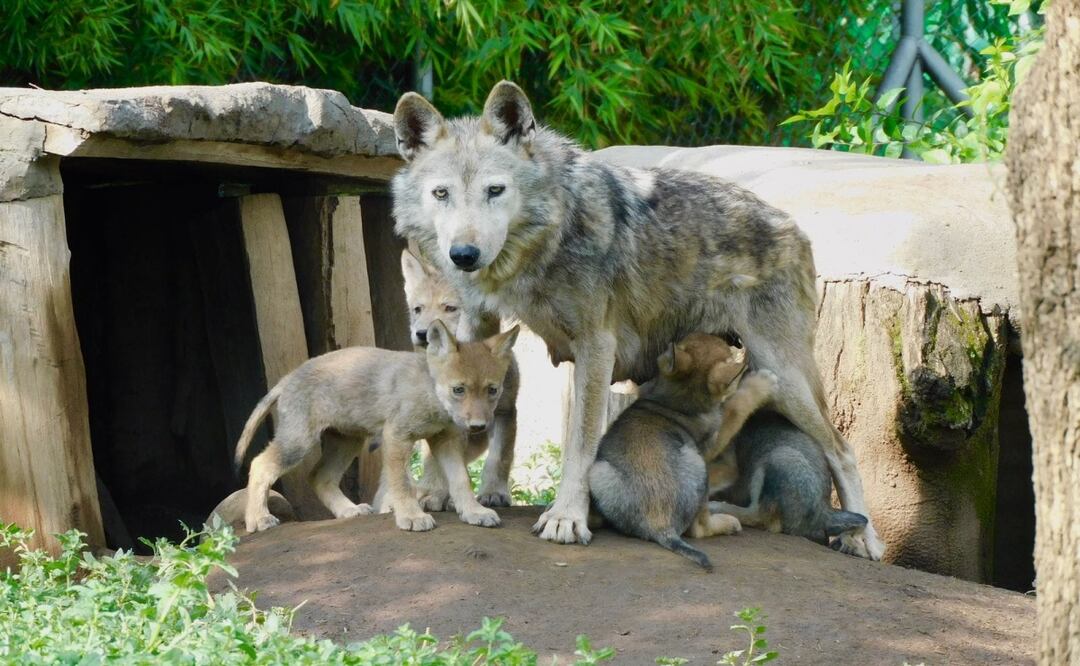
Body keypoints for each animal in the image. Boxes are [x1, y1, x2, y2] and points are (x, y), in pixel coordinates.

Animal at [234, 319, 519, 534]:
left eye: (492, 390)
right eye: (458, 390)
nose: (478, 426)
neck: (429, 394)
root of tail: (287, 378)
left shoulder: (445, 441)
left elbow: (461, 480)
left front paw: (474, 512)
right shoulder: (397, 437)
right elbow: (401, 483)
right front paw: (411, 517)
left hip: (347, 442)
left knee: (319, 477)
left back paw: (349, 510)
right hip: (299, 443)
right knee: (260, 464)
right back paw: (258, 519)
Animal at [400, 249, 520, 509]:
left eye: (450, 308)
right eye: (417, 309)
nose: (422, 333)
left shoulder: (505, 413)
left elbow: (499, 458)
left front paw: (493, 492)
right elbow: (439, 466)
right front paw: (434, 495)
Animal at [589, 333, 775, 570]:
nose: (734, 341)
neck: (676, 402)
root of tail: (660, 525)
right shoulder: (713, 442)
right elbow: (735, 407)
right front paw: (762, 383)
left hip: (598, 472)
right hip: (698, 465)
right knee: (699, 529)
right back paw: (728, 522)